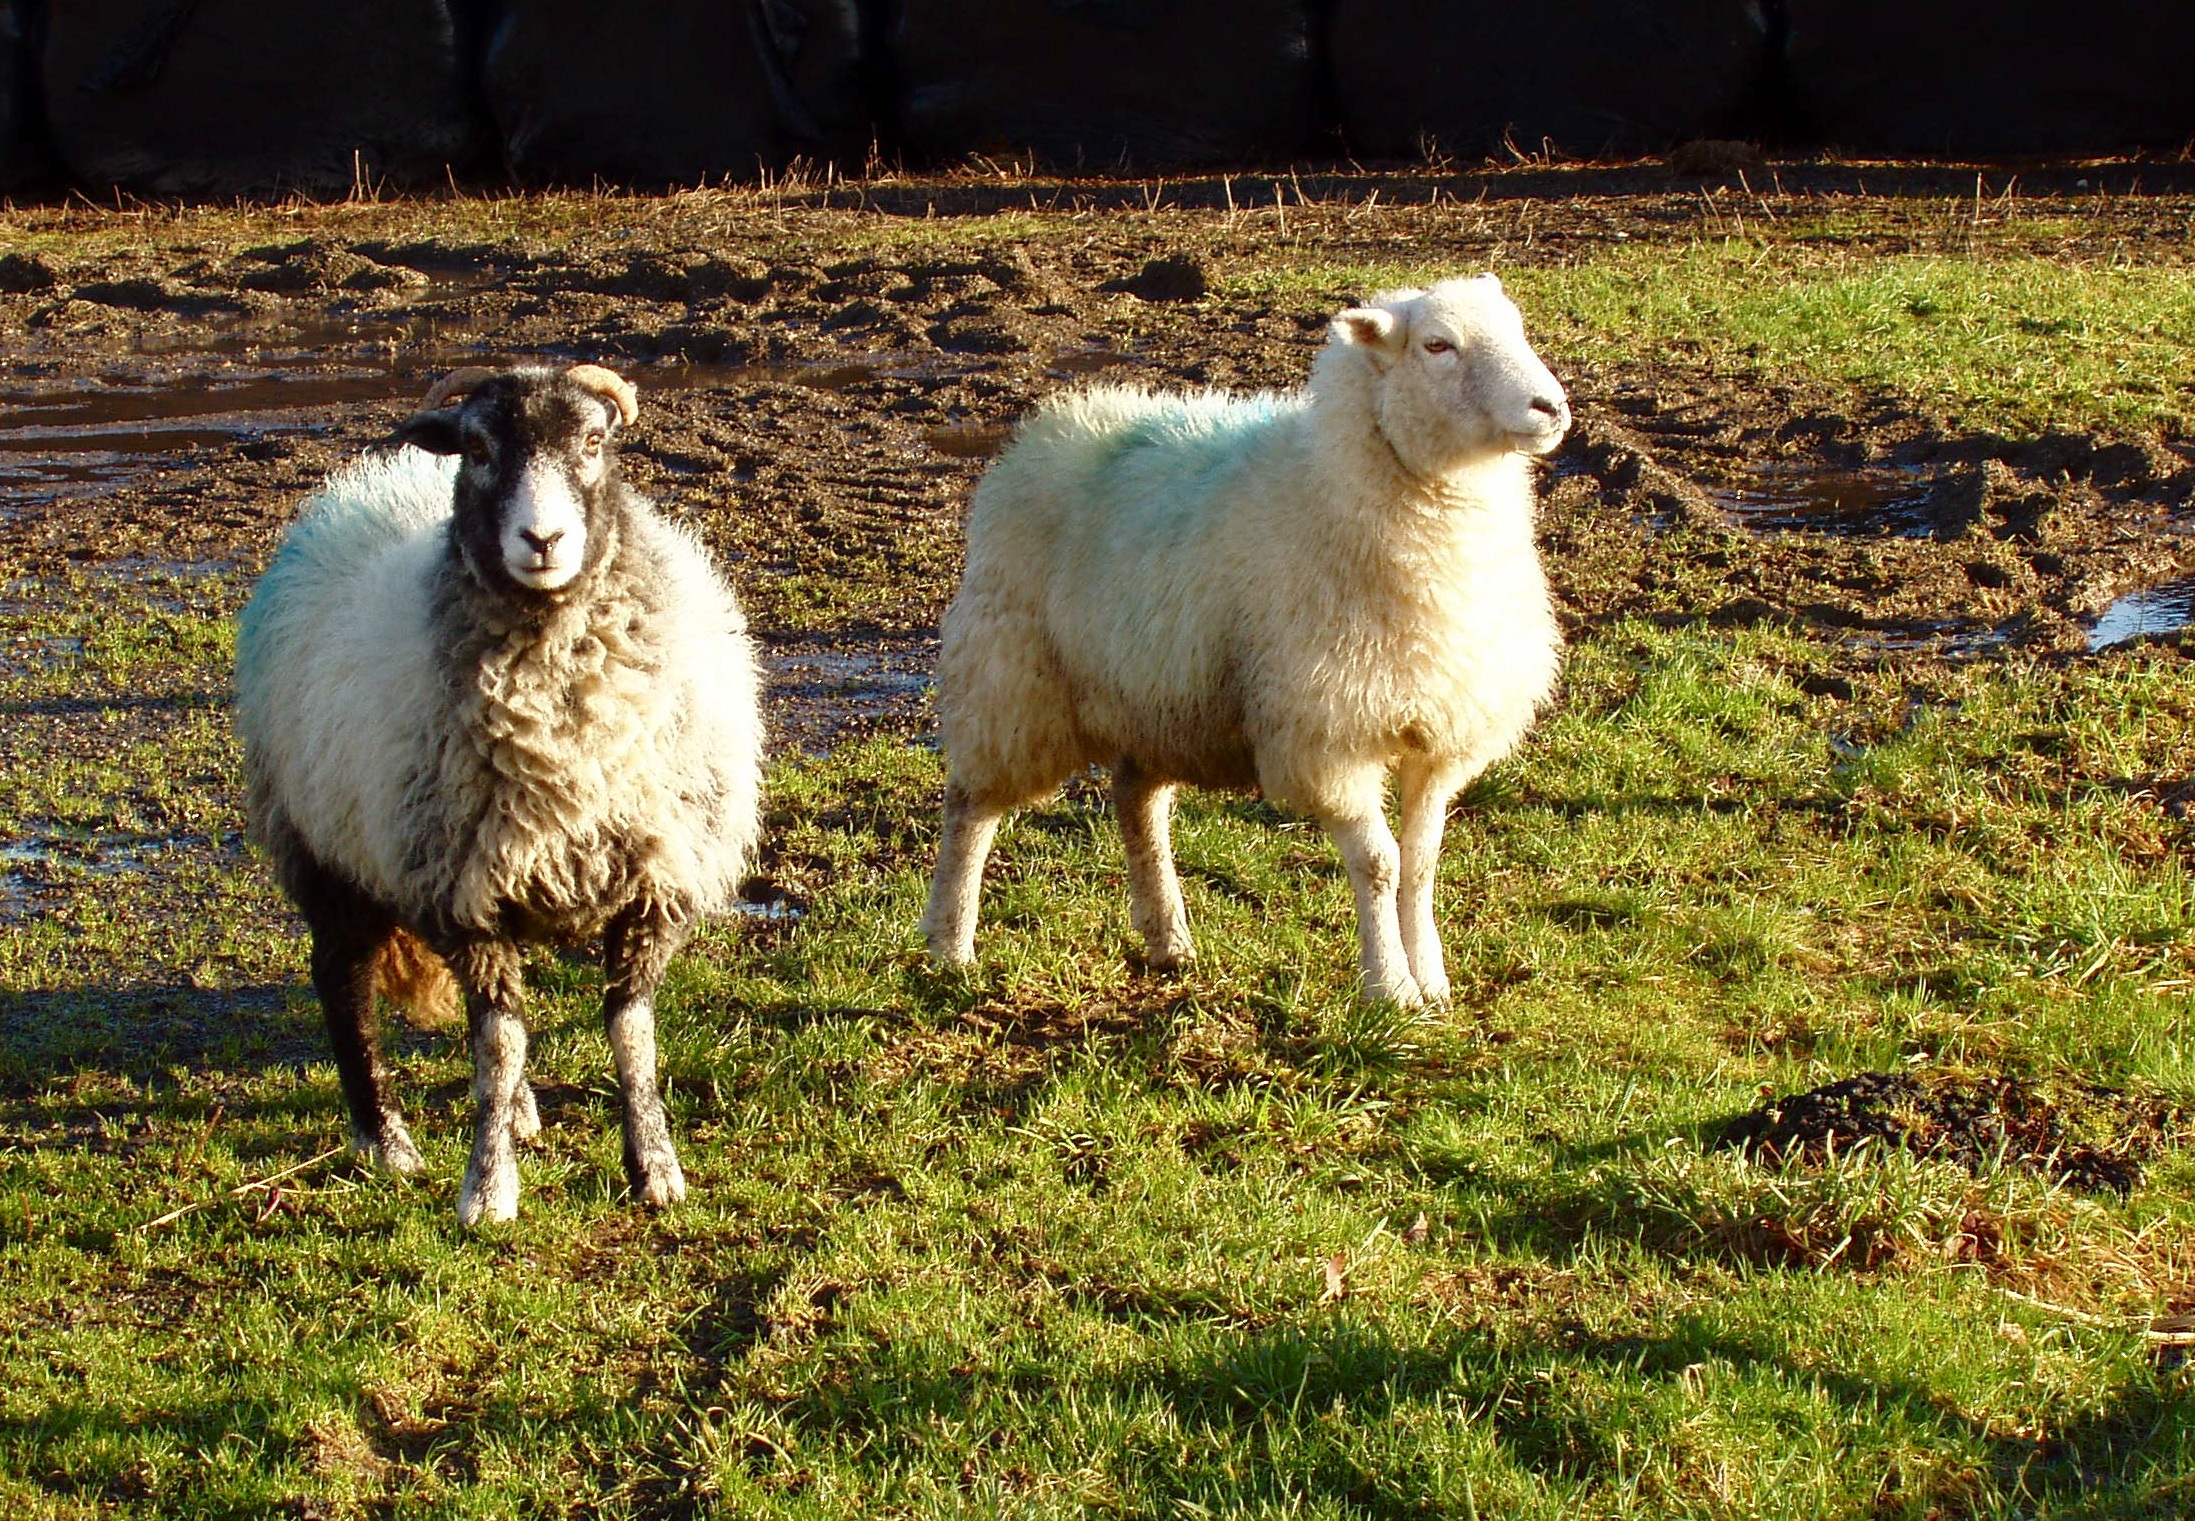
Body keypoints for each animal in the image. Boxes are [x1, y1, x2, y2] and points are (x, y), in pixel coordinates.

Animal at [237, 362, 768, 1229]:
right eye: (479, 448)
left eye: (594, 441)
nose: (543, 540)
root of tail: (374, 482)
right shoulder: (463, 892)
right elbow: (498, 1043)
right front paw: (487, 1187)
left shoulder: (651, 884)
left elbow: (630, 1033)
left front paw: (654, 1167)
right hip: (325, 841)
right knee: (341, 977)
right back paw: (385, 1139)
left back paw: (514, 1110)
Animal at [917, 275, 1571, 1009]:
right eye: (1437, 345)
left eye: (1516, 327)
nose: (1551, 406)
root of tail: (1063, 420)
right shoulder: (1328, 736)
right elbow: (1379, 864)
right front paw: (1390, 988)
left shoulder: (1439, 732)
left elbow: (1422, 863)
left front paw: (1431, 979)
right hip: (1011, 679)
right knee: (969, 808)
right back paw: (950, 944)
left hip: (1158, 697)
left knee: (1135, 799)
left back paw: (1167, 938)